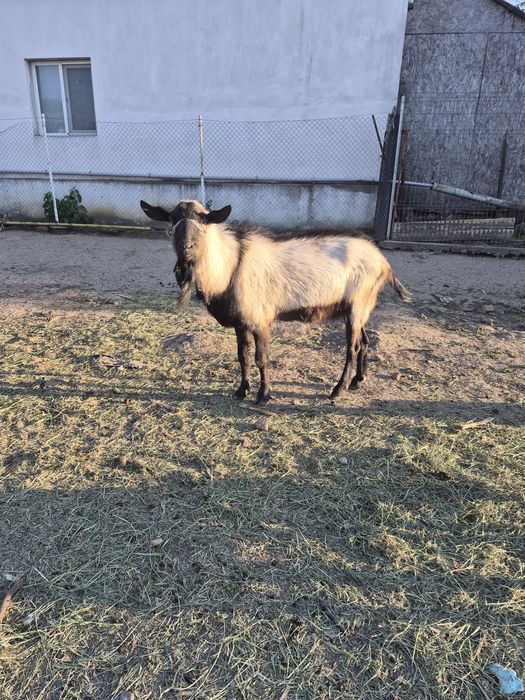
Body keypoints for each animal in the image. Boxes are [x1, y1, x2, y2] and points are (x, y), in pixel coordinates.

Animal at [140, 199, 410, 403]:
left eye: (203, 220)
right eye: (172, 218)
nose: (185, 247)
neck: (231, 265)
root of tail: (383, 261)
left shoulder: (260, 320)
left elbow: (261, 358)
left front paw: (264, 394)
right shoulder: (241, 322)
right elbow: (243, 356)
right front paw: (241, 390)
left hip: (357, 304)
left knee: (351, 348)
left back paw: (337, 390)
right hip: (357, 308)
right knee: (364, 341)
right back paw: (357, 381)